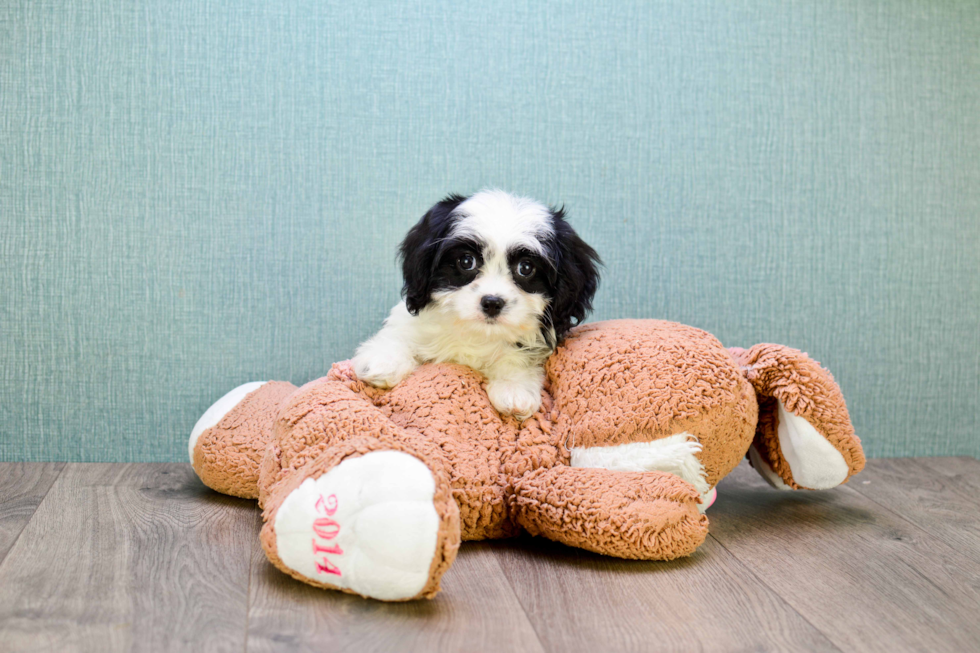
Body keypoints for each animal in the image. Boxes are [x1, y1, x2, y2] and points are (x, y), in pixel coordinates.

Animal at [352, 188, 596, 420]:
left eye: (526, 268)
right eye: (466, 261)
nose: (492, 302)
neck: (477, 334)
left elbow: (518, 358)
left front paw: (514, 389)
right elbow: (400, 335)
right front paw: (383, 361)